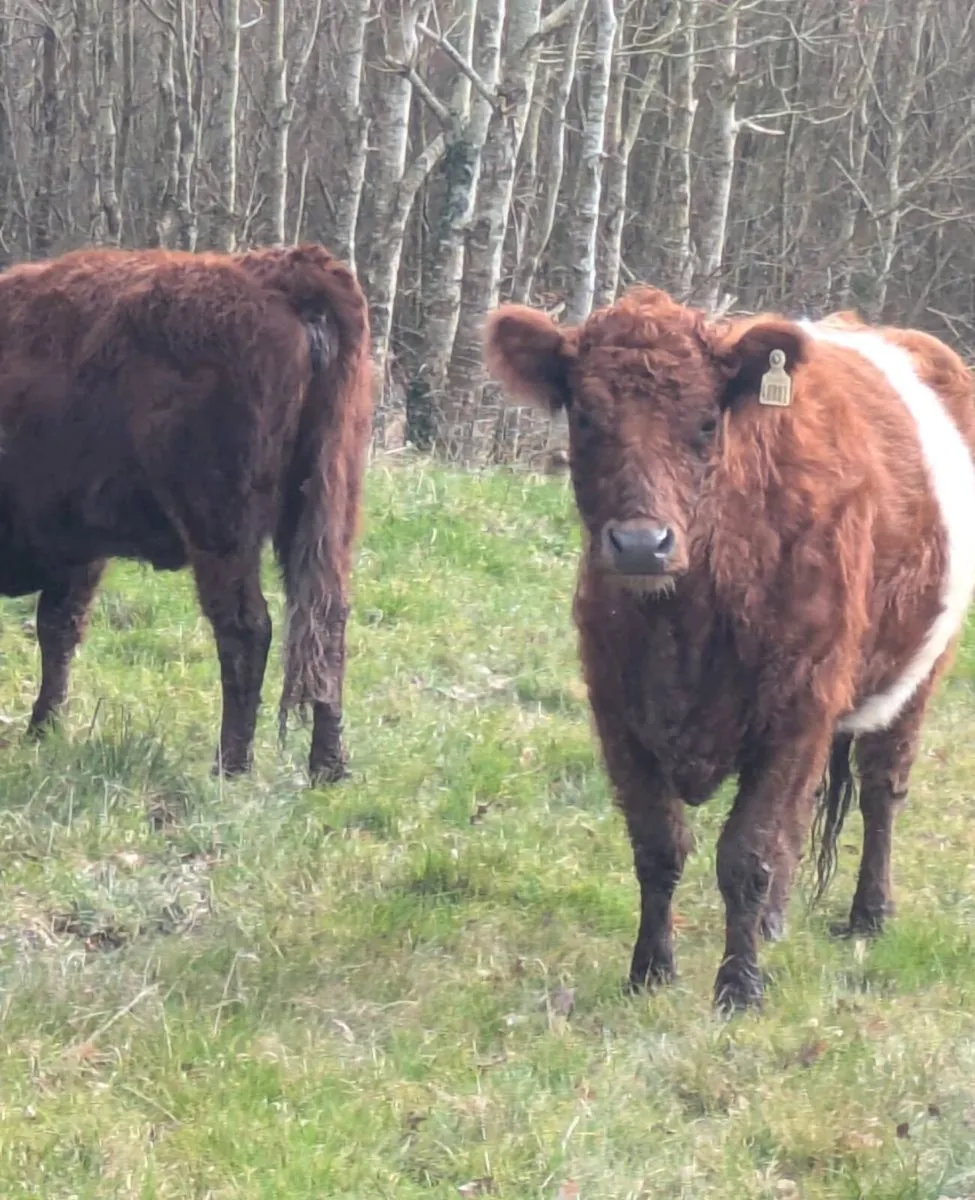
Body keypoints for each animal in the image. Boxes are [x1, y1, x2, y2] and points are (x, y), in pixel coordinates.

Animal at [0, 243, 372, 783]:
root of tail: (280, 271)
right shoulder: (80, 550)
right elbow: (59, 630)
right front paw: (41, 733)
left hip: (221, 529)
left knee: (246, 628)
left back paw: (230, 767)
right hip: (327, 513)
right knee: (324, 618)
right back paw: (328, 768)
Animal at [484, 287, 975, 1011]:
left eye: (706, 422)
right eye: (586, 418)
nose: (641, 544)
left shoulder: (797, 706)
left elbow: (746, 853)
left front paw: (739, 988)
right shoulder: (616, 709)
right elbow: (659, 846)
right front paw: (650, 972)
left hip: (916, 674)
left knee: (882, 787)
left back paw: (868, 915)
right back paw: (774, 922)